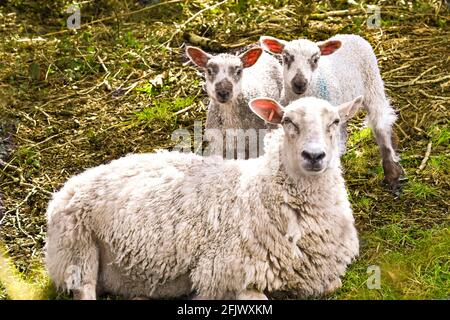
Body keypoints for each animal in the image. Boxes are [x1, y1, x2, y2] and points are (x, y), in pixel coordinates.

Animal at [44, 95, 362, 300]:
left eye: (335, 121)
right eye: (286, 121)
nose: (314, 156)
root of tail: (70, 184)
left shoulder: (321, 280)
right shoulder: (222, 274)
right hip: (76, 248)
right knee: (83, 290)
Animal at [260, 33, 404, 191]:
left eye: (315, 59)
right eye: (286, 58)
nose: (299, 83)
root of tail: (350, 35)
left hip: (373, 83)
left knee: (381, 124)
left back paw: (392, 173)